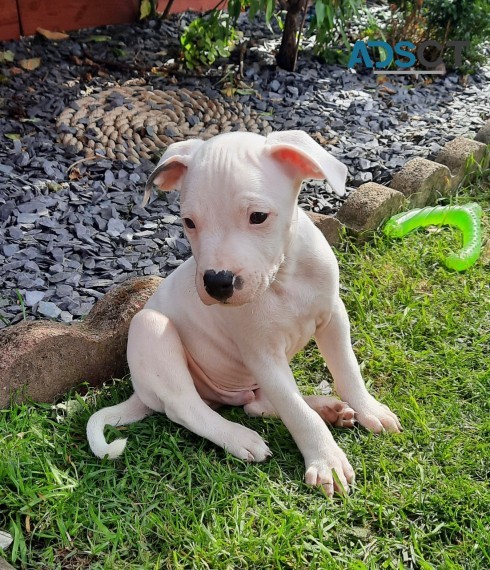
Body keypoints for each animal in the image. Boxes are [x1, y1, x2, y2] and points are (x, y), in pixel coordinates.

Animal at [87, 129, 402, 492]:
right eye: (189, 222)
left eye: (258, 217)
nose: (217, 282)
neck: (283, 276)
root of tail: (139, 393)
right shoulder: (262, 355)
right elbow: (296, 412)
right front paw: (326, 460)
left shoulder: (333, 318)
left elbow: (347, 371)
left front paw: (368, 409)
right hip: (149, 327)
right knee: (185, 406)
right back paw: (239, 437)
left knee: (258, 404)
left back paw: (328, 409)